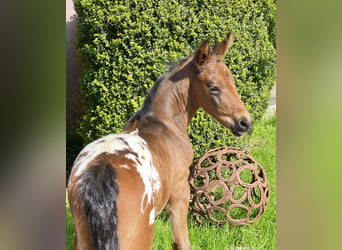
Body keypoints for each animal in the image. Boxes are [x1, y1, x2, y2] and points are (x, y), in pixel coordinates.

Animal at [68, 33, 252, 250]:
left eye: (232, 81)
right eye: (213, 87)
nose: (245, 122)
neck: (164, 122)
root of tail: (102, 173)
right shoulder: (180, 191)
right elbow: (181, 241)